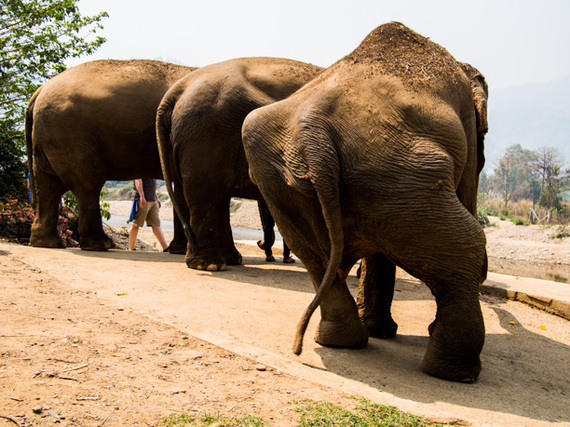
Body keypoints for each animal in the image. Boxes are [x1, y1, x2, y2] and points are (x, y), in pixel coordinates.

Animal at [26, 60, 195, 252]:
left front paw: (178, 250)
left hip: (50, 136)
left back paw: (47, 243)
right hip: (70, 136)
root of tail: (40, 90)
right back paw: (101, 245)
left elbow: (181, 189)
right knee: (87, 184)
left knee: (48, 186)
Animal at [155, 56, 322, 270]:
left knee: (217, 195)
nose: (260, 242)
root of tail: (177, 90)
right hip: (207, 134)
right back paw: (211, 265)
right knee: (208, 194)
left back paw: (229, 261)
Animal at [242, 22, 486, 384]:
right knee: (468, 251)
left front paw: (379, 331)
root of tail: (314, 135)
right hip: (399, 172)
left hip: (287, 177)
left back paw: (339, 342)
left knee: (316, 259)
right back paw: (458, 374)